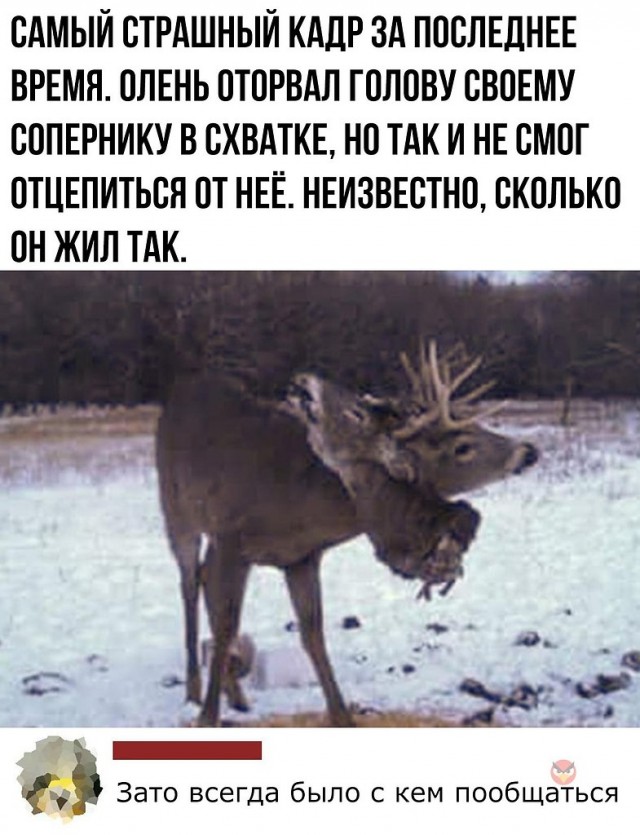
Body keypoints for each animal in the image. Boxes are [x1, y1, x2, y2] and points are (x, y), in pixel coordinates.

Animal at [155, 342, 538, 727]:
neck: (299, 506)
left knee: (204, 578)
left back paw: (235, 694)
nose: (529, 451)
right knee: (189, 584)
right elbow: (226, 626)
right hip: (176, 512)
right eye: (462, 446)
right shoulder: (231, 538)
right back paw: (194, 691)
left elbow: (312, 634)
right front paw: (207, 717)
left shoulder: (302, 557)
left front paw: (342, 715)